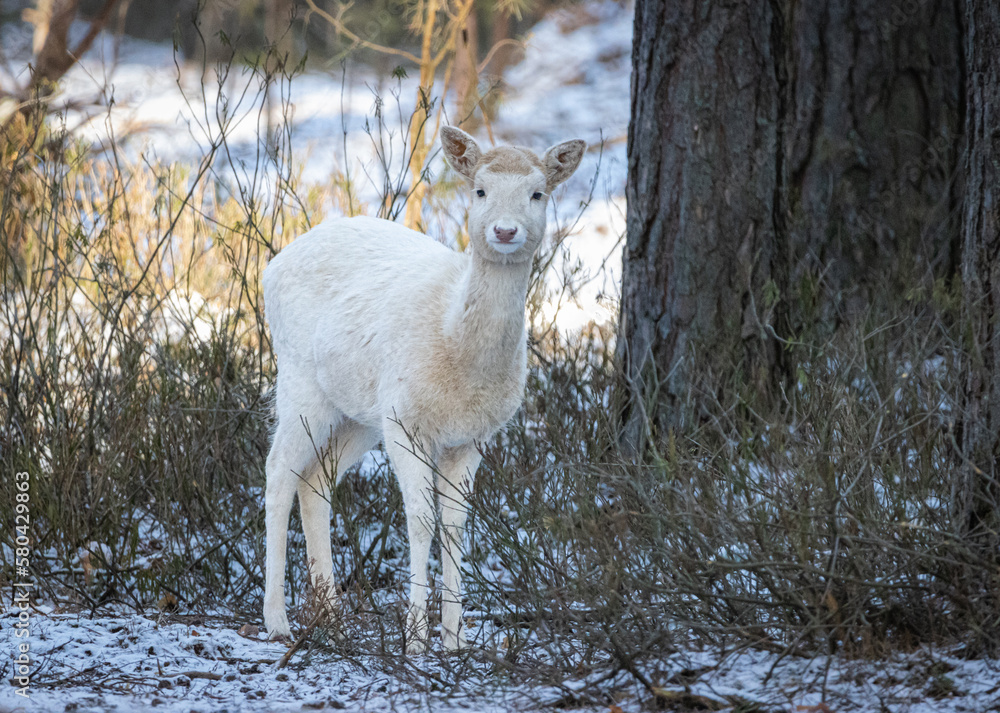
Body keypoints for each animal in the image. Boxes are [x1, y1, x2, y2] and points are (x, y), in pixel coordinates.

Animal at [261, 126, 585, 653]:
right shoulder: (406, 422)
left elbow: (455, 524)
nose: (505, 231)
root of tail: (271, 265)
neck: (458, 349)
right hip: (300, 381)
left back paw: (331, 615)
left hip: (360, 415)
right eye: (480, 190)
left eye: (538, 193)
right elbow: (420, 518)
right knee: (277, 472)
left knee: (316, 480)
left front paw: (454, 638)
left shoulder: (471, 437)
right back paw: (277, 620)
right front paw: (414, 638)